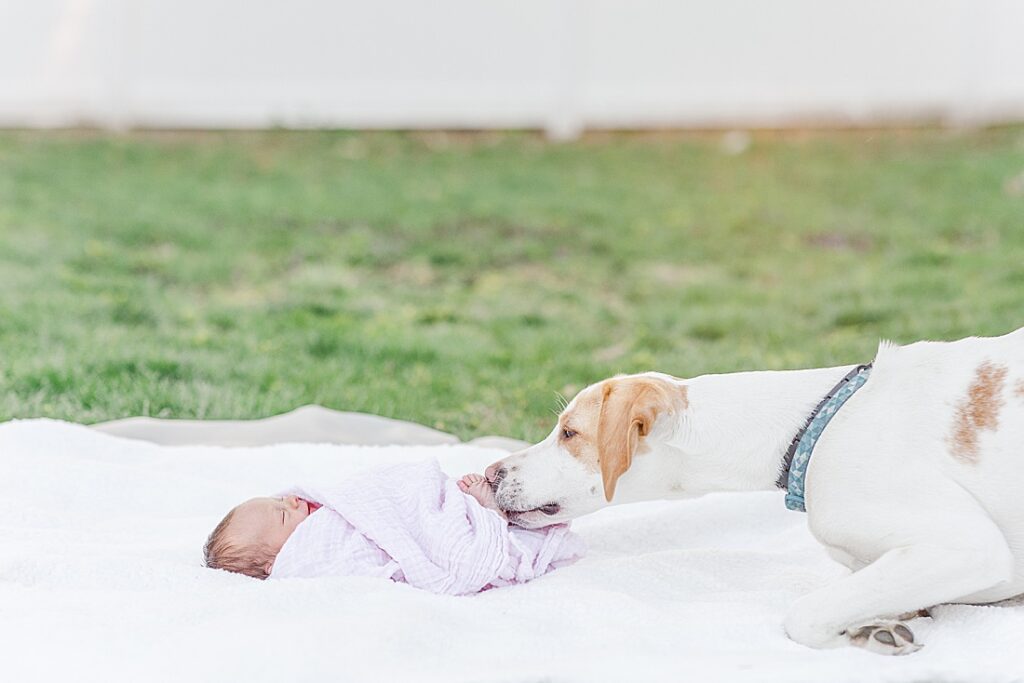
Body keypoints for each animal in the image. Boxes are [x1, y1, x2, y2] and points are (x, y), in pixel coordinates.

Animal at [487, 327, 1024, 655]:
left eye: (569, 433)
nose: (490, 472)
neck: (813, 425)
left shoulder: (965, 547)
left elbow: (804, 615)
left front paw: (858, 632)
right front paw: (873, 625)